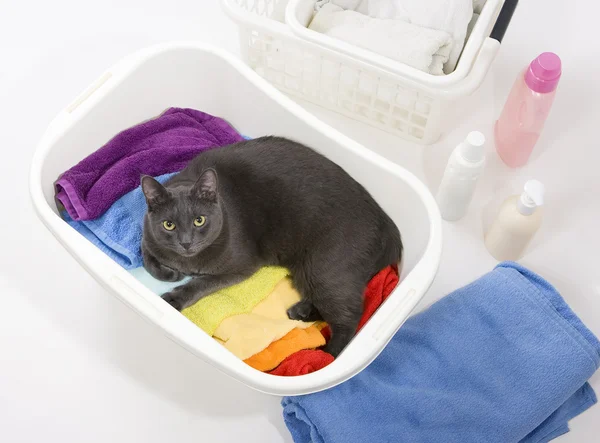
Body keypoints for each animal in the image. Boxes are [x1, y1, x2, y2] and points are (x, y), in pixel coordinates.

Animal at [141, 137, 404, 360]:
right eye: (169, 224)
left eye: (199, 220)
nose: (186, 242)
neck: (189, 261)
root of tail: (388, 225)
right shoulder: (147, 234)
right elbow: (147, 256)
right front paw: (170, 273)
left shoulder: (240, 267)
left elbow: (201, 284)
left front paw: (175, 296)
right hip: (311, 272)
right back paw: (302, 312)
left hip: (325, 267)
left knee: (351, 315)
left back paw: (326, 354)